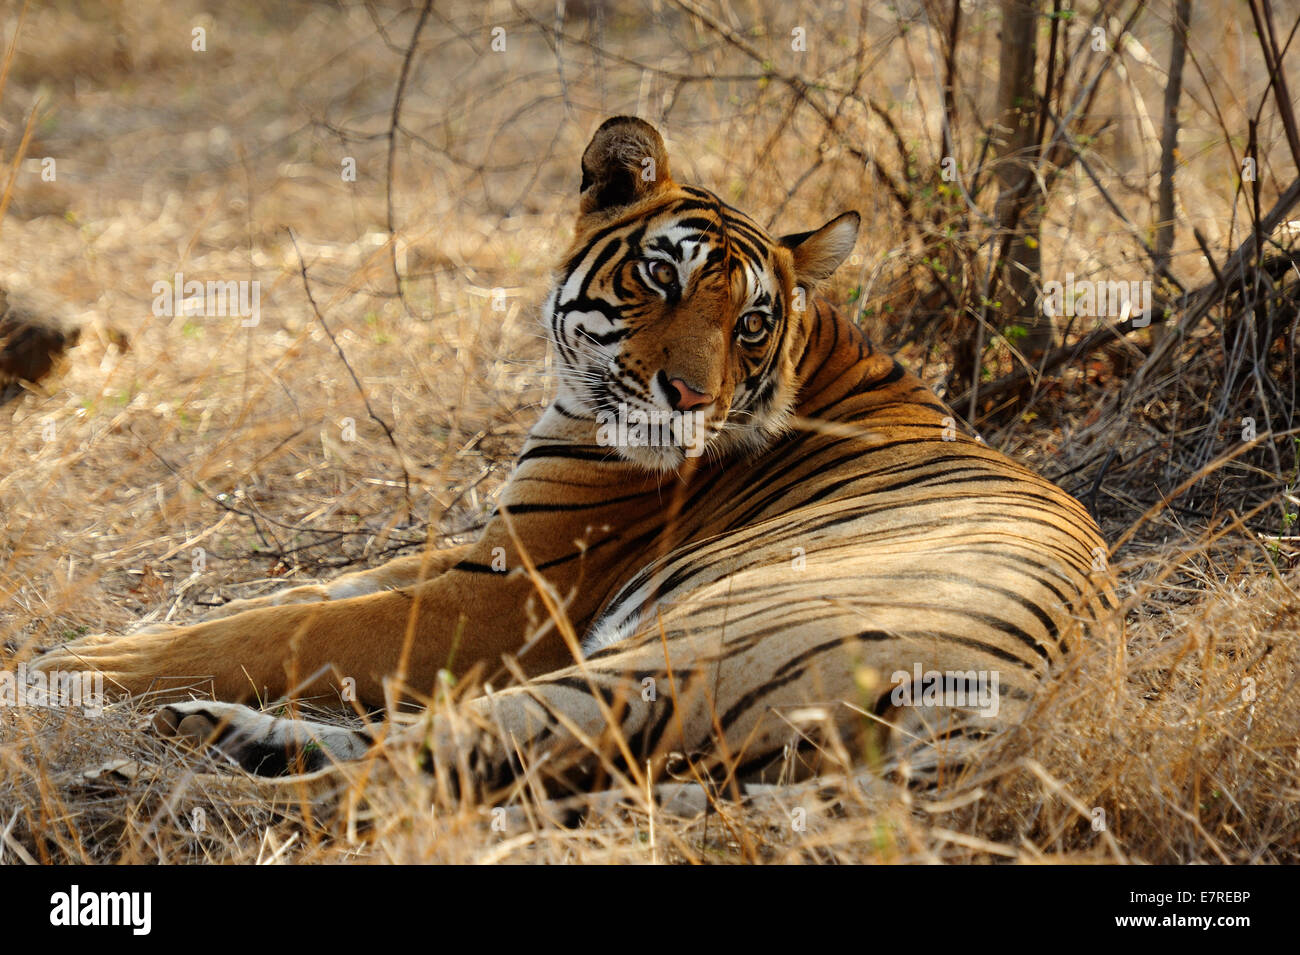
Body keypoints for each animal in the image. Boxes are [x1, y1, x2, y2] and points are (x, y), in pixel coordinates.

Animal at [30, 116, 1116, 793]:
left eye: (752, 322)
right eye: (662, 276)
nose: (694, 398)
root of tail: (998, 712)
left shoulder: (506, 597)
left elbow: (282, 630)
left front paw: (76, 663)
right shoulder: (484, 548)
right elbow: (301, 595)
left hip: (653, 662)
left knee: (423, 769)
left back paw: (185, 761)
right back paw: (212, 737)